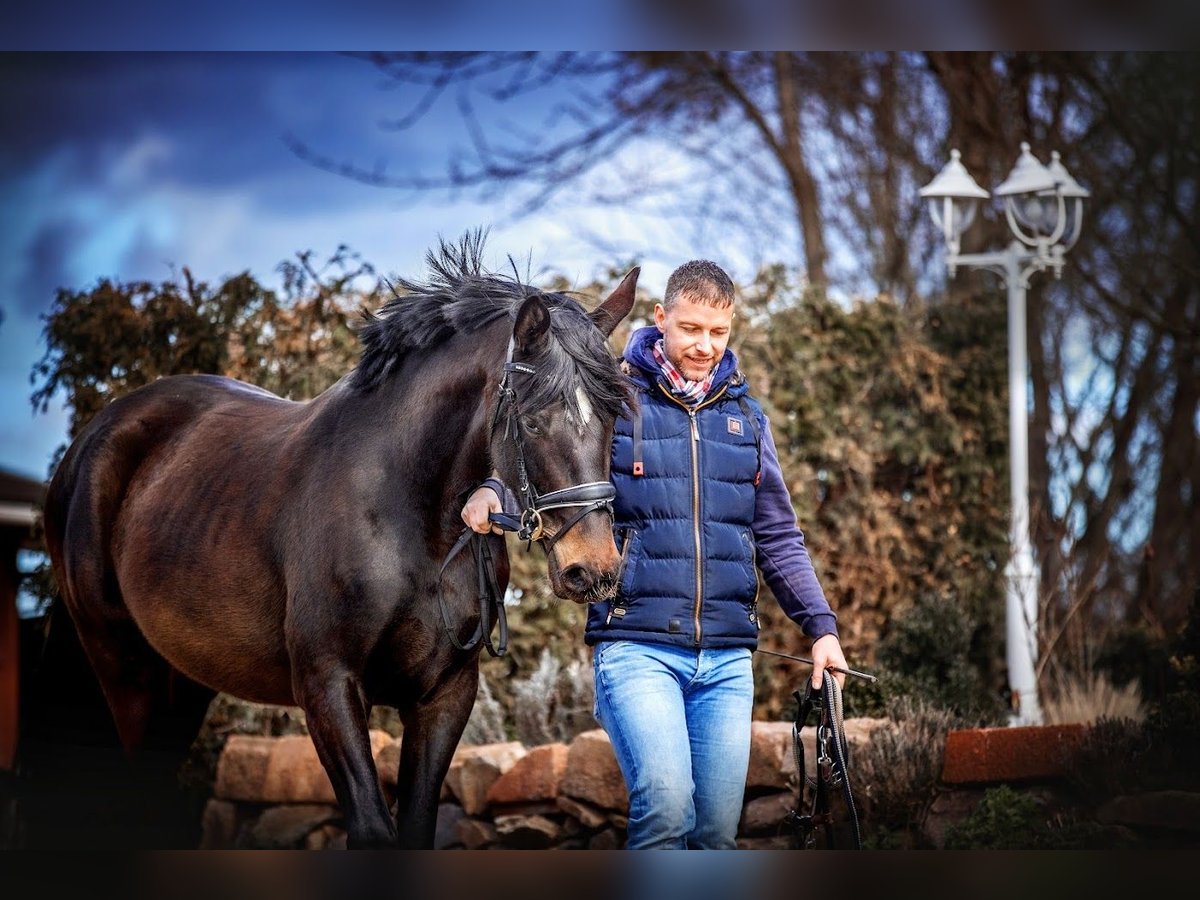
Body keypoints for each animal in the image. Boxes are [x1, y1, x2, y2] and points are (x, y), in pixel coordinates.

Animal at [41, 235, 639, 848]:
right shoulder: (328, 686)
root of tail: (93, 439)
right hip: (123, 668)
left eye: (615, 418)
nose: (593, 569)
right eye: (535, 419)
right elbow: (373, 829)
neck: (408, 518)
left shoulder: (444, 696)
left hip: (182, 680)